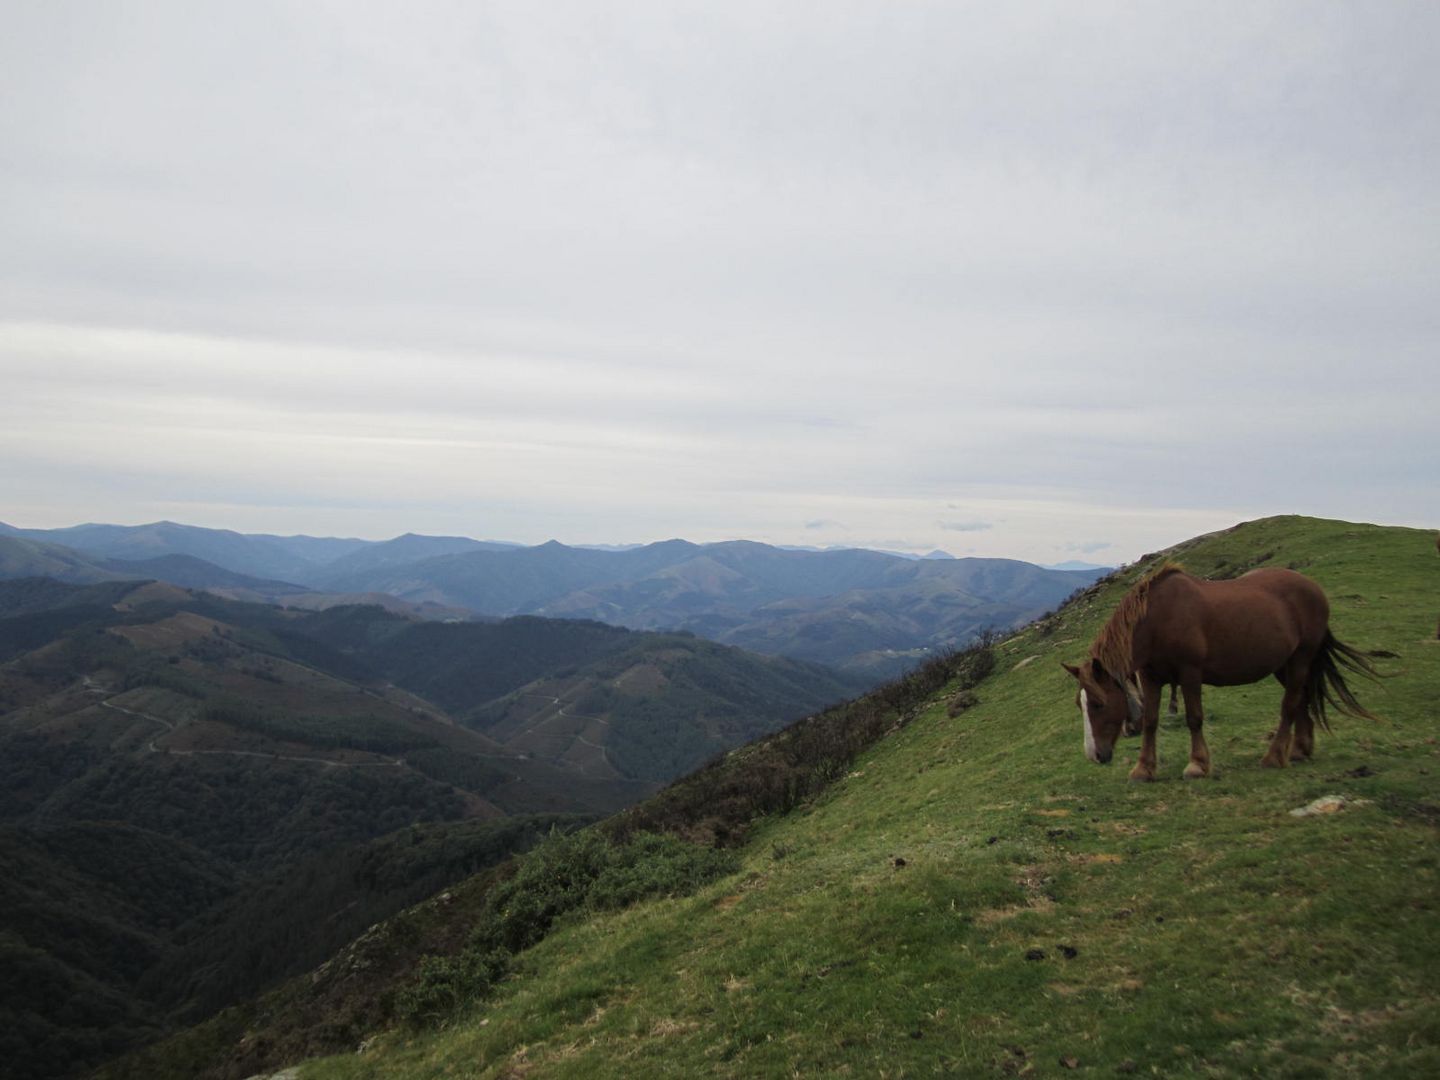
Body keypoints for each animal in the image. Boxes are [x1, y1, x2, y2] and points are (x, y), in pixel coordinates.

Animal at [1065, 561, 1376, 783]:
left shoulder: (1190, 673)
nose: (1094, 755)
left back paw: (1274, 757)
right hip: (1284, 665)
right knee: (1300, 700)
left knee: (1289, 705)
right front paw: (1144, 769)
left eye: (1098, 704)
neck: (1157, 620)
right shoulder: (1150, 677)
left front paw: (1197, 765)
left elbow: (1194, 718)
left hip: (1301, 659)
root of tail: (1314, 588)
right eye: (1079, 705)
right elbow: (1151, 721)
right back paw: (1299, 749)